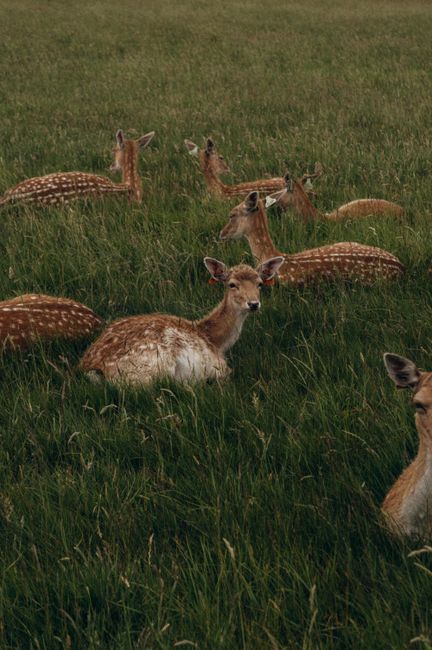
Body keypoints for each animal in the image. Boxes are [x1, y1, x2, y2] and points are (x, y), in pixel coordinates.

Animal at [79, 256, 284, 387]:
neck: (215, 341)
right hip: (150, 369)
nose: (254, 304)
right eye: (232, 284)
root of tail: (91, 369)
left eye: (260, 284)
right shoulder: (220, 367)